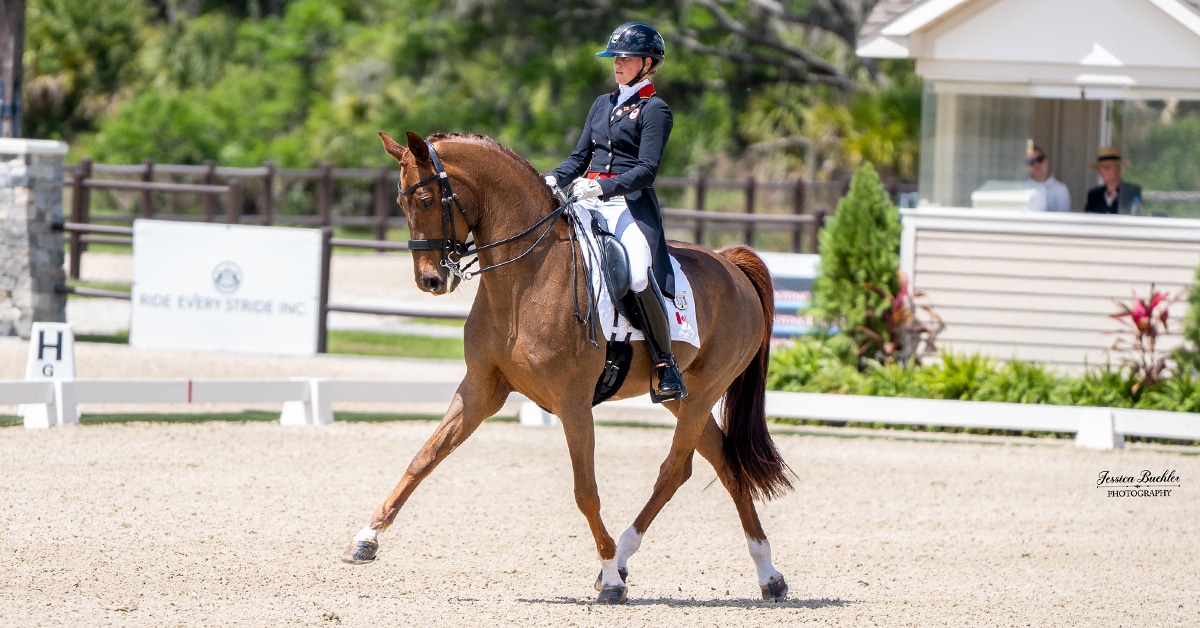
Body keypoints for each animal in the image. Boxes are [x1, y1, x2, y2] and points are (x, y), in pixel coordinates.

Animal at [342, 130, 796, 605]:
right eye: (401, 202)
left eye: (428, 199)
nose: (430, 280)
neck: (524, 281)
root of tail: (730, 264)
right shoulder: (481, 388)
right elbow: (424, 457)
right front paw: (366, 539)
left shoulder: (573, 402)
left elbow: (586, 492)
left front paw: (611, 579)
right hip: (685, 396)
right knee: (724, 463)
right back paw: (769, 575)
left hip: (705, 390)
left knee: (674, 470)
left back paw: (624, 562)